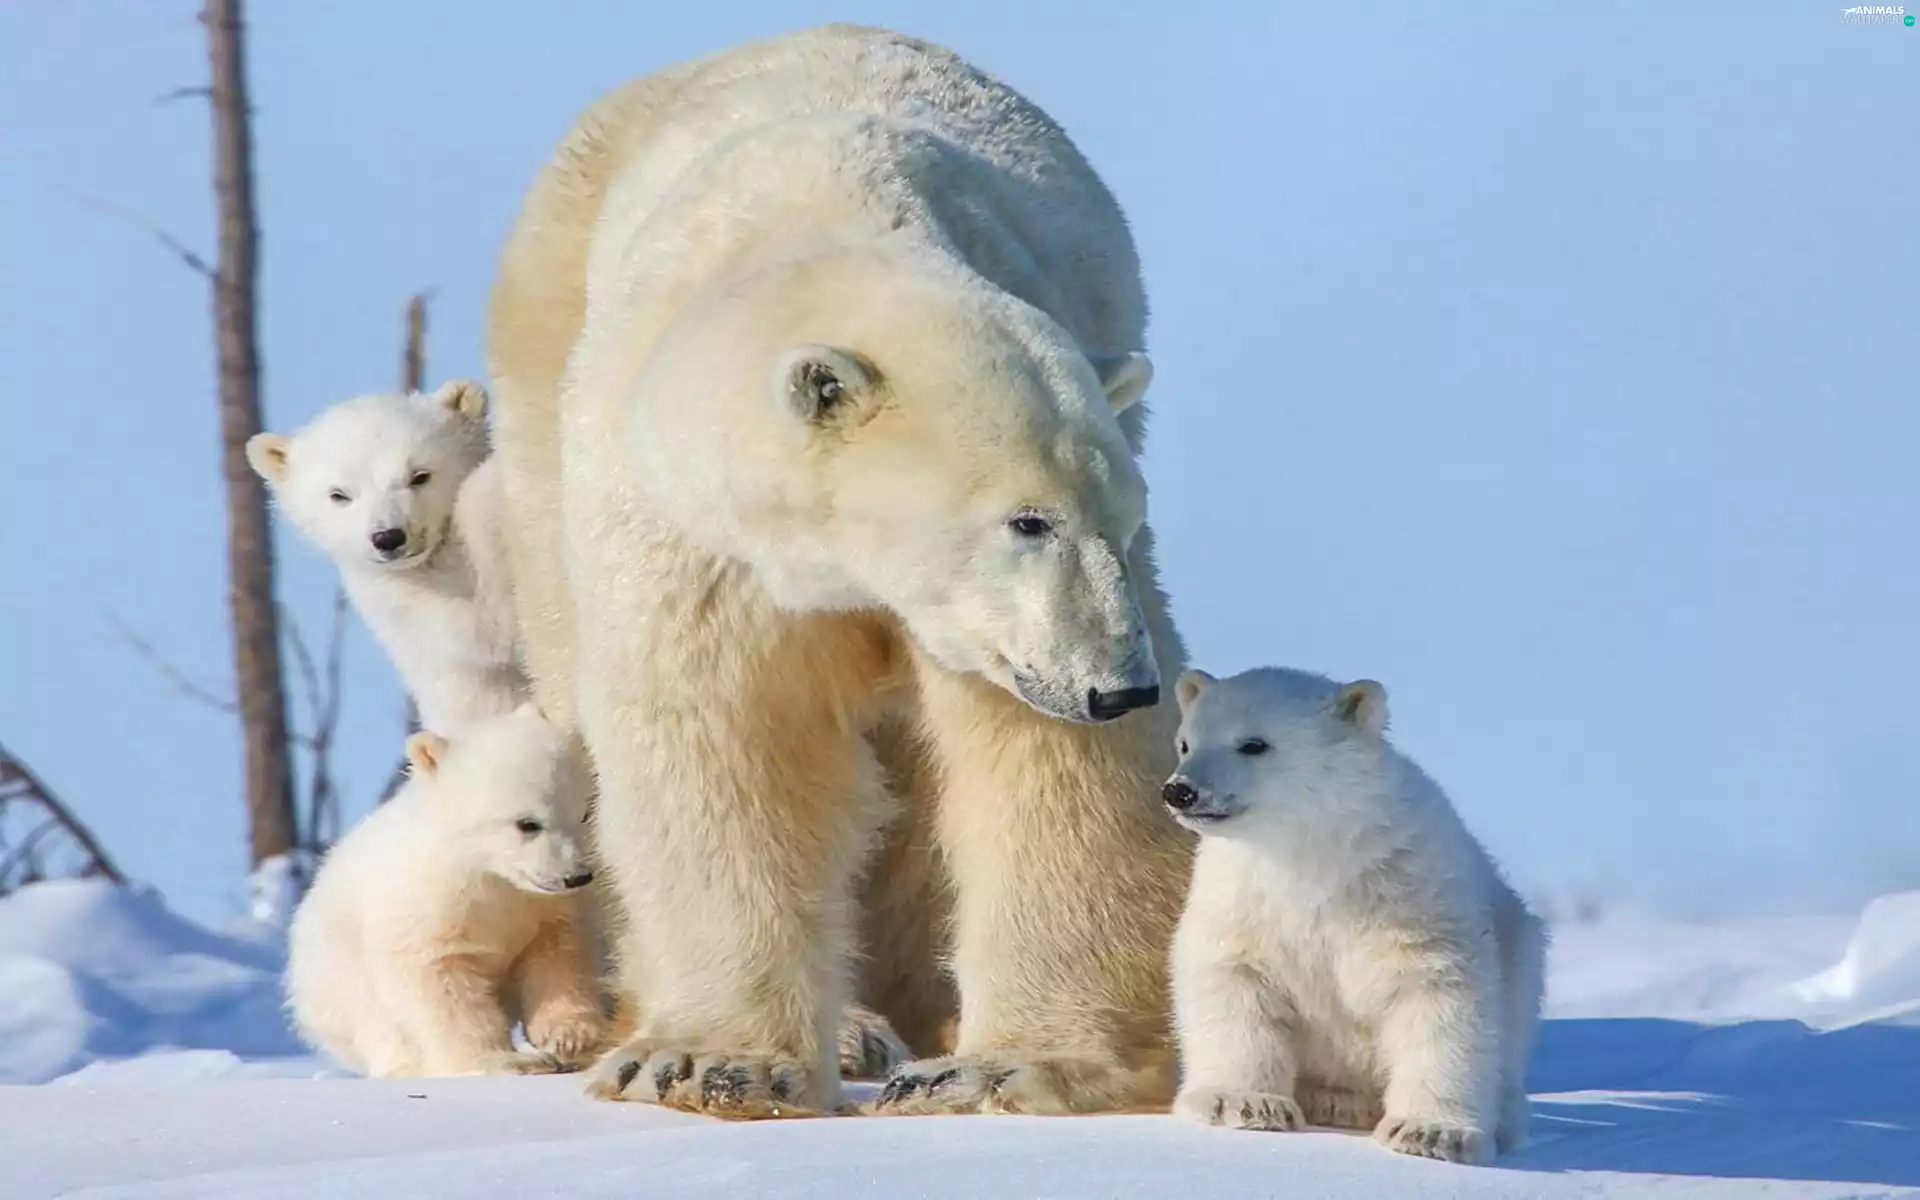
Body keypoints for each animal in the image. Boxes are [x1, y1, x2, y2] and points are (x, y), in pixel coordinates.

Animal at [284, 702, 607, 1077]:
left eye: (583, 814)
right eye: (527, 823)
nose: (577, 876)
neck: (484, 873)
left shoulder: (541, 906)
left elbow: (557, 953)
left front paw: (570, 1036)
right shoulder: (427, 908)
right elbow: (441, 982)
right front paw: (504, 1060)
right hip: (341, 979)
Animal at [484, 23, 1193, 1118]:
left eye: (1127, 521)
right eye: (1027, 519)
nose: (1120, 686)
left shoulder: (997, 630)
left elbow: (1047, 770)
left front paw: (1004, 1066)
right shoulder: (695, 535)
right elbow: (725, 735)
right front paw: (704, 1064)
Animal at [1162, 667, 1546, 1164]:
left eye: (1254, 744)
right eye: (1186, 743)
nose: (1180, 791)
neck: (1310, 852)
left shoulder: (1407, 889)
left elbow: (1438, 992)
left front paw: (1430, 1133)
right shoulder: (1244, 896)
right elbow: (1232, 978)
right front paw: (1242, 1102)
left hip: (1522, 949)